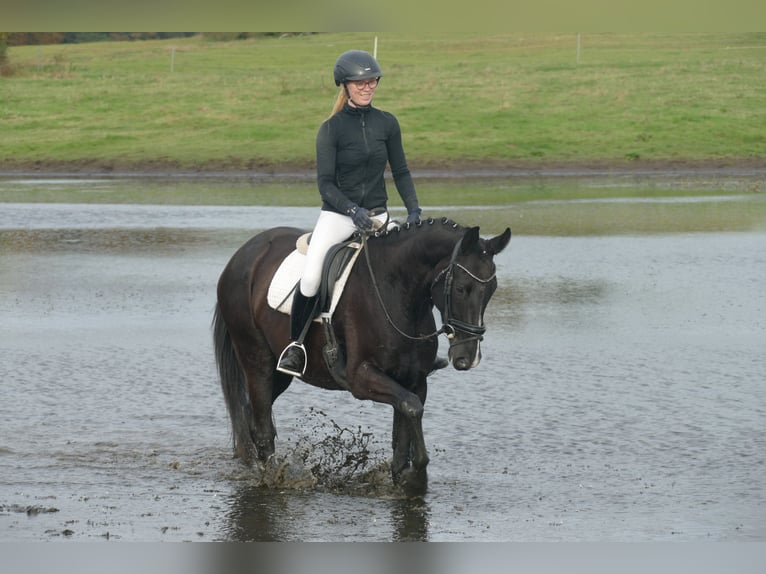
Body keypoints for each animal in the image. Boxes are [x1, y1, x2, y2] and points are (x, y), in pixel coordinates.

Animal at [212, 217, 511, 496]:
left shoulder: (414, 380)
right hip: (257, 359)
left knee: (251, 414)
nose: (468, 357)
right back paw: (272, 476)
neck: (397, 290)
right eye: (460, 288)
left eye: (492, 289)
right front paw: (417, 476)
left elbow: (405, 424)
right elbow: (412, 408)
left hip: (279, 374)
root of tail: (244, 254)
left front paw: (403, 478)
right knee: (262, 426)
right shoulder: (361, 378)